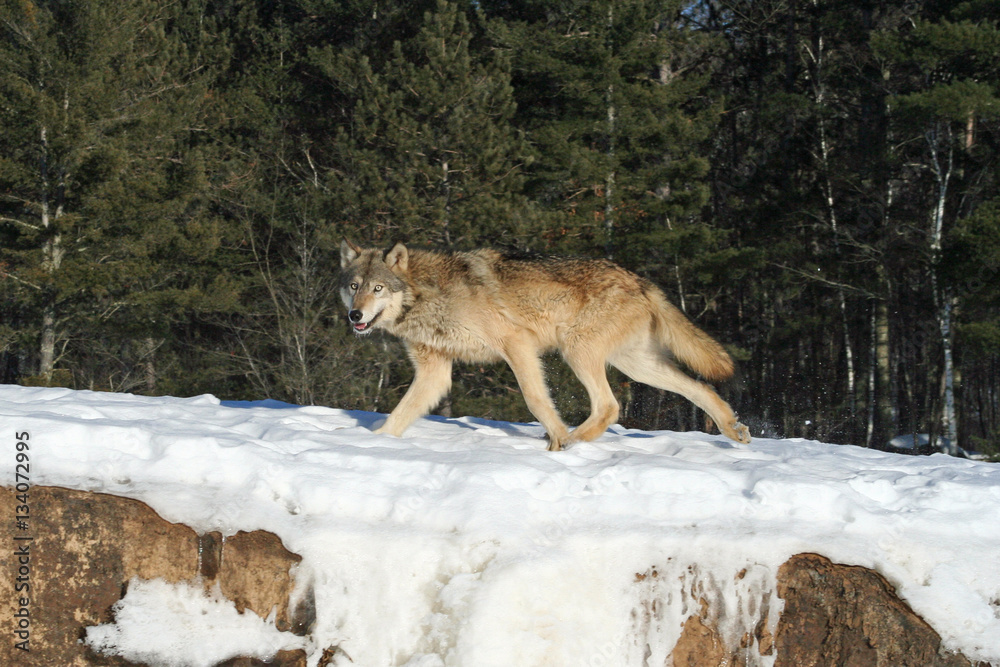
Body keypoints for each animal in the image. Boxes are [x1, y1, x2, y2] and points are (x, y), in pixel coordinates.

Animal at [340, 240, 751, 450]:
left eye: (378, 288)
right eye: (354, 286)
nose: (355, 316)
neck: (427, 295)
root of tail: (640, 280)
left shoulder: (516, 343)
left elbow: (536, 400)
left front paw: (557, 436)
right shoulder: (434, 372)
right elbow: (397, 417)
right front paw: (372, 446)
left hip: (577, 350)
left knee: (609, 406)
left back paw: (572, 441)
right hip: (636, 366)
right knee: (699, 388)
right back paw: (733, 429)